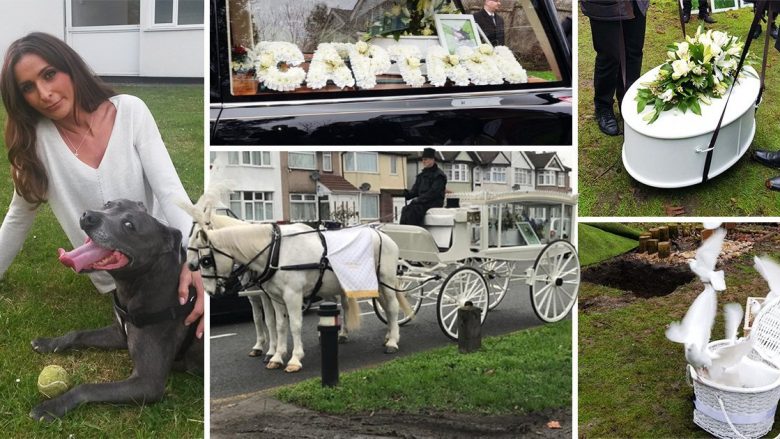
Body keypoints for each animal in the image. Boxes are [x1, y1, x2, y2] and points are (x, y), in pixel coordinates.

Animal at [29, 199, 203, 422]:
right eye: (109, 204)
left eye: (129, 225)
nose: (88, 216)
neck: (145, 282)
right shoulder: (120, 334)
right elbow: (77, 334)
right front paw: (49, 343)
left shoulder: (147, 383)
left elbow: (87, 388)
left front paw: (52, 406)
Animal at [188, 211, 412, 372]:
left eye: (205, 260)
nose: (210, 292)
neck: (275, 251)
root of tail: (383, 234)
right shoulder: (275, 297)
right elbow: (278, 325)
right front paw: (277, 356)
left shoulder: (292, 296)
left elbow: (294, 325)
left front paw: (294, 358)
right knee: (375, 306)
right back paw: (381, 334)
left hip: (386, 279)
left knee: (392, 308)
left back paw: (393, 341)